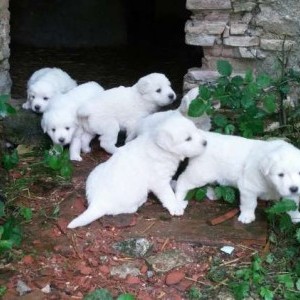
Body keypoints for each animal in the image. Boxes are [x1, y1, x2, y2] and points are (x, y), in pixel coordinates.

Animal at [67, 113, 209, 229]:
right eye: (188, 139)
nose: (205, 143)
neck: (160, 148)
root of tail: (97, 202)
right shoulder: (159, 181)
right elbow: (168, 195)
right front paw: (175, 206)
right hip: (137, 193)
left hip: (96, 171)